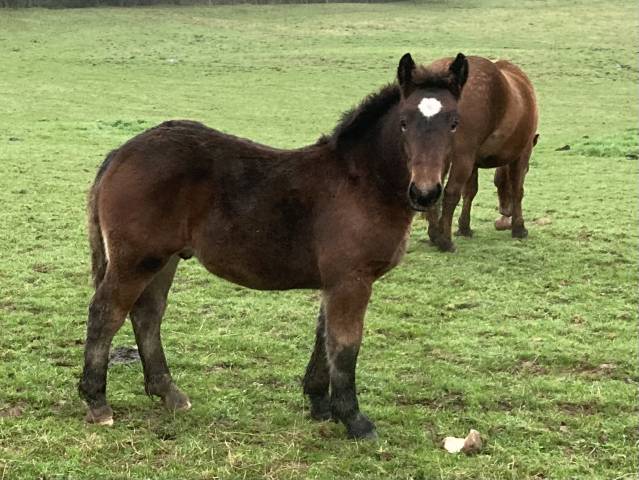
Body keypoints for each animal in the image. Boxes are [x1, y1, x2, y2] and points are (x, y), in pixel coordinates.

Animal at [80, 51, 470, 438]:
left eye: (454, 123)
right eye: (404, 122)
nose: (425, 193)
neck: (361, 182)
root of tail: (121, 153)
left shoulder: (334, 281)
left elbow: (323, 338)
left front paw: (319, 403)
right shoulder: (352, 280)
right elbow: (345, 345)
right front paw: (355, 419)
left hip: (166, 258)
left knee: (147, 314)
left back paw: (169, 393)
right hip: (136, 259)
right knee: (106, 313)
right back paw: (97, 402)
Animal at [422, 56, 544, 251]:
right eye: (528, 170)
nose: (505, 212)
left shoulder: (473, 162)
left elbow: (470, 192)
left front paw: (464, 227)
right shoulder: (522, 154)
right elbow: (518, 190)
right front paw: (519, 228)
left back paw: (434, 235)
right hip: (462, 158)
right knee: (451, 193)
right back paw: (445, 241)